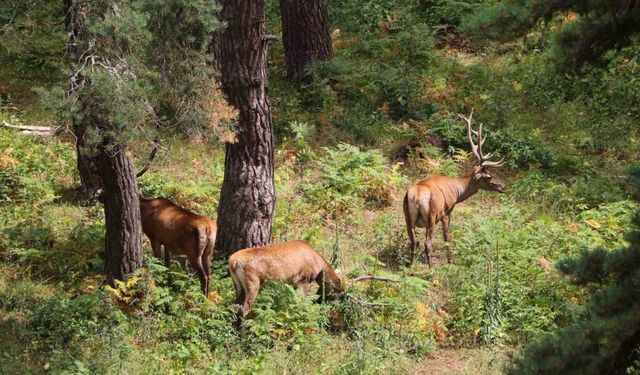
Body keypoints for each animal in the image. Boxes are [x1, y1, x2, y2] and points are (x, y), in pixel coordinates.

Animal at [404, 108, 504, 268]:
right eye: (489, 176)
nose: (504, 186)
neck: (456, 192)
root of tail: (417, 196)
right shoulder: (447, 212)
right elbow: (447, 237)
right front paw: (451, 260)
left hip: (407, 216)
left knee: (413, 241)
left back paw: (411, 265)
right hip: (431, 216)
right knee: (427, 243)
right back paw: (431, 268)